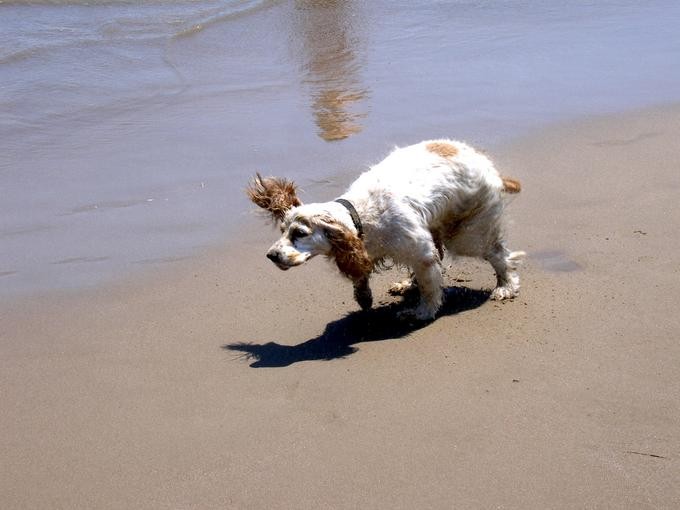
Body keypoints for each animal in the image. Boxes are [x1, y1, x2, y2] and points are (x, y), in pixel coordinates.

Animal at [247, 138, 524, 322]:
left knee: (500, 255)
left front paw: (423, 312)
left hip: (466, 235)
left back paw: (505, 286)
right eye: (283, 229)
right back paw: (406, 284)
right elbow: (362, 275)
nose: (271, 255)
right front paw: (364, 297)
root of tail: (490, 166)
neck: (360, 214)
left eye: (300, 233)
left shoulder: (420, 251)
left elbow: (430, 287)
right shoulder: (373, 250)